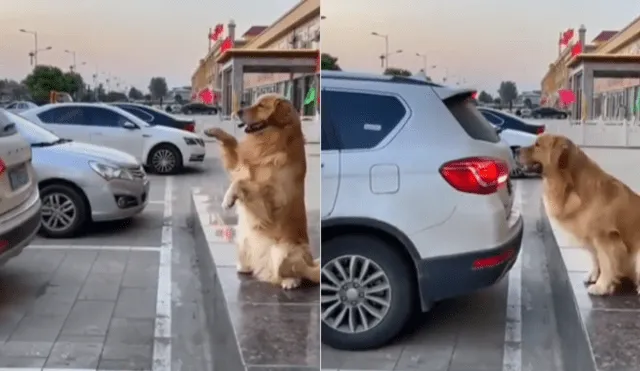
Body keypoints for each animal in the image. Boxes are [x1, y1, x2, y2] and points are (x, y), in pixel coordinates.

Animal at [205, 93, 320, 290]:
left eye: (261, 106)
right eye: (254, 102)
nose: (238, 111)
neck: (269, 143)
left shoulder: (271, 200)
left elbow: (241, 183)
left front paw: (228, 198)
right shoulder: (240, 165)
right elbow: (232, 145)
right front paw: (214, 131)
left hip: (283, 251)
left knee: (301, 273)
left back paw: (290, 281)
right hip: (242, 238)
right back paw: (245, 267)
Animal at [524, 134, 640, 296]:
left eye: (537, 145)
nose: (515, 150)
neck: (570, 185)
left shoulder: (605, 237)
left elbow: (607, 263)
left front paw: (601, 286)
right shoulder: (590, 236)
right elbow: (595, 258)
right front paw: (594, 276)